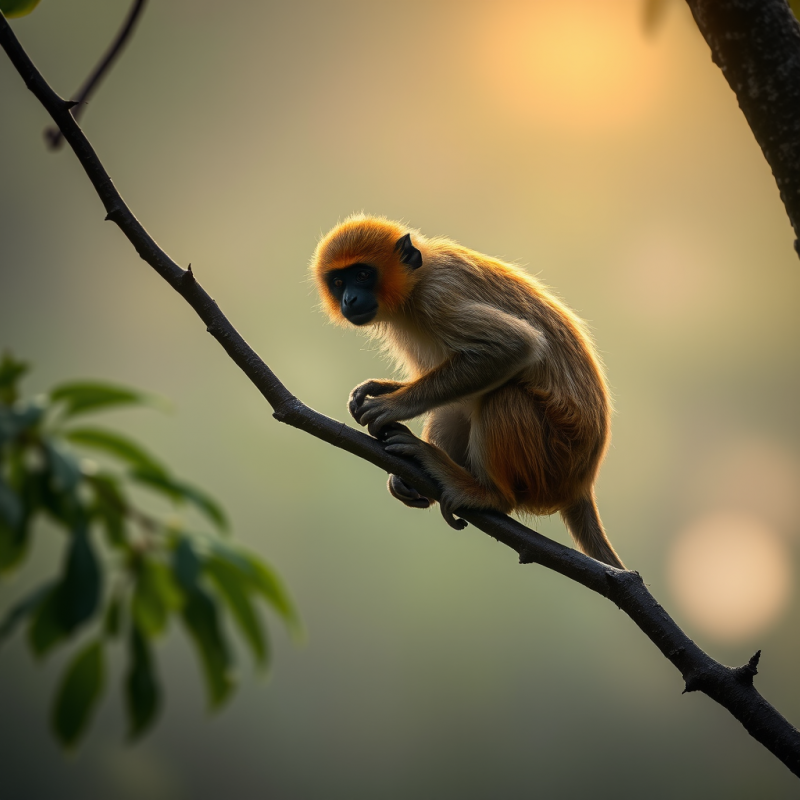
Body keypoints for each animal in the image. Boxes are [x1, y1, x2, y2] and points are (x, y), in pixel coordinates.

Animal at [311, 214, 624, 569]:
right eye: (339, 282)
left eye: (362, 275)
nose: (348, 299)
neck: (417, 281)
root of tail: (581, 483)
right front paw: (382, 388)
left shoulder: (437, 296)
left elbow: (514, 345)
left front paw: (390, 405)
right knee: (456, 406)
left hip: (552, 462)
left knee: (504, 396)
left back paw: (487, 495)